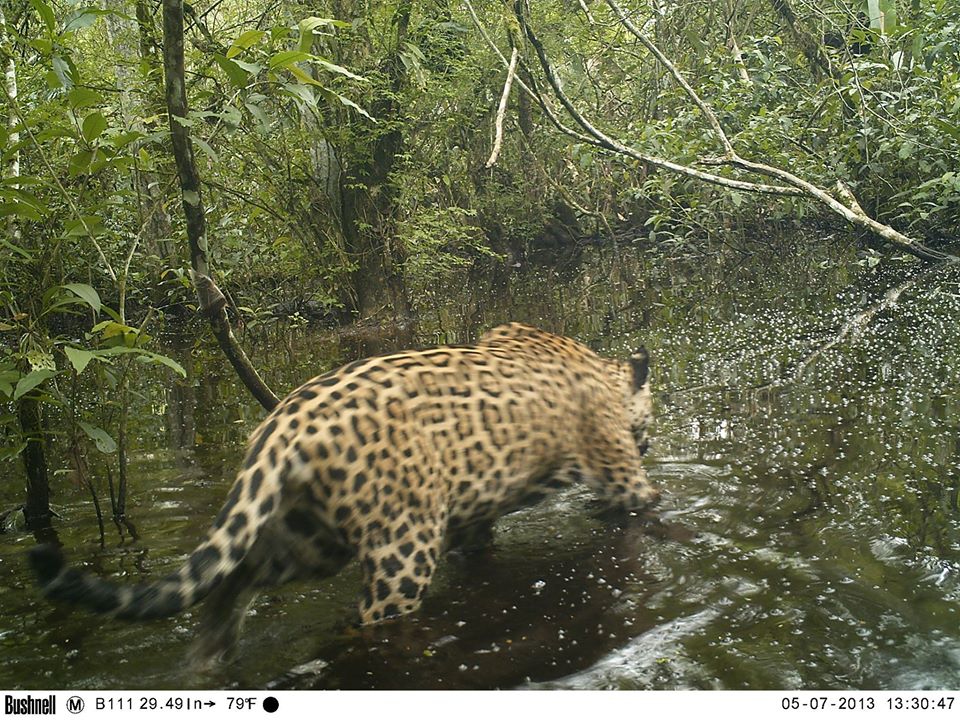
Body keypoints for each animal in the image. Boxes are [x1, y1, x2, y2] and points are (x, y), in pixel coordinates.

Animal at [29, 322, 657, 666]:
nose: (647, 441)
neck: (601, 371)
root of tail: (284, 419)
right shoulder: (624, 479)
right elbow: (642, 506)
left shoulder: (470, 519)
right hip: (401, 548)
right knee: (369, 619)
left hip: (305, 540)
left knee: (230, 581)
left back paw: (209, 658)